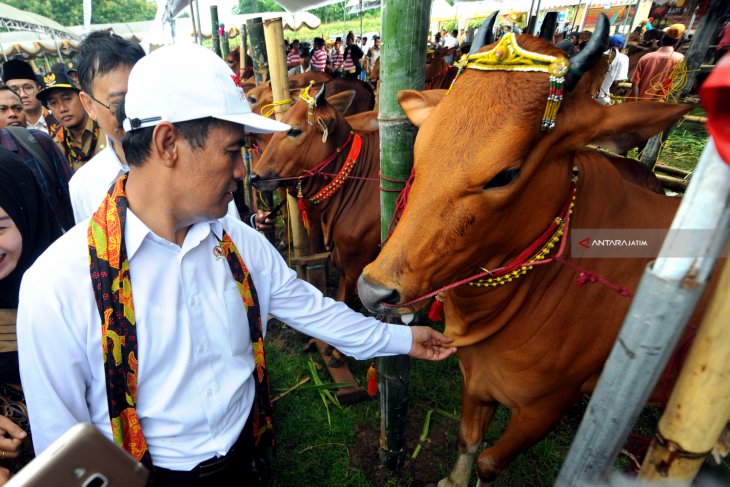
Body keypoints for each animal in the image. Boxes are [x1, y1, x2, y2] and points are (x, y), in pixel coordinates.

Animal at [356, 16, 692, 487]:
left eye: (506, 174)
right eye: (419, 149)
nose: (374, 291)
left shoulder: (544, 409)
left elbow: (489, 462)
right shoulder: (476, 381)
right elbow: (467, 441)